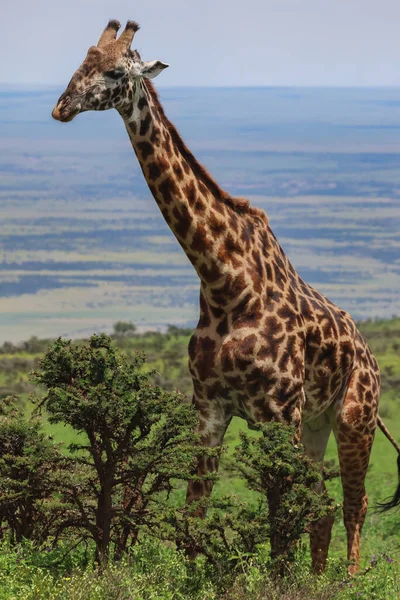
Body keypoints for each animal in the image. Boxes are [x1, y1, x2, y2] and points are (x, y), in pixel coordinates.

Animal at [52, 18, 400, 572]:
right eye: (80, 61)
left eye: (114, 71)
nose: (61, 107)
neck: (223, 281)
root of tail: (367, 350)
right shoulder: (210, 407)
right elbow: (193, 518)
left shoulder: (280, 413)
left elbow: (280, 524)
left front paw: (281, 582)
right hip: (317, 422)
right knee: (323, 503)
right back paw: (321, 579)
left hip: (354, 416)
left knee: (353, 501)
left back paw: (346, 579)